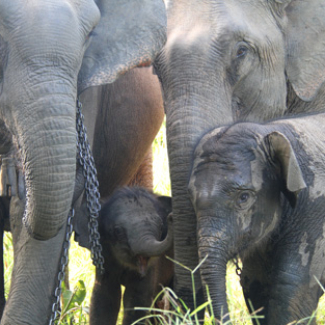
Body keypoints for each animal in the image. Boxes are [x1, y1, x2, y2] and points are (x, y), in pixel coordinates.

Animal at [88, 186, 173, 324]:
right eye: (117, 231)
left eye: (161, 227)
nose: (171, 217)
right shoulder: (105, 259)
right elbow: (105, 297)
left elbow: (137, 299)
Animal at [189, 113, 325, 324]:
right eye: (190, 198)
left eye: (243, 197)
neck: (270, 131)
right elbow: (255, 283)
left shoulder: (315, 206)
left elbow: (292, 286)